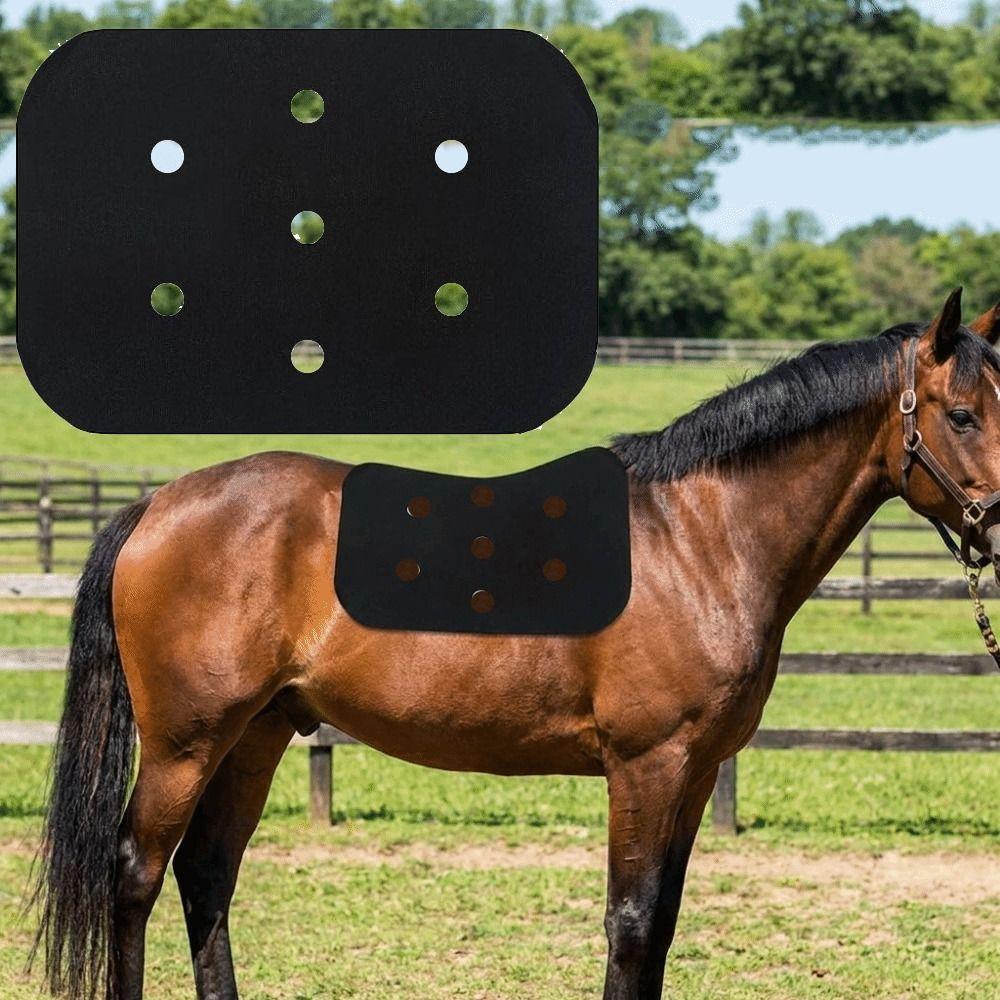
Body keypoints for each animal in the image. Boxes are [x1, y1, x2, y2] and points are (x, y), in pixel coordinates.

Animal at [29, 288, 1000, 1000]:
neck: (698, 537)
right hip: (186, 743)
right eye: (960, 414)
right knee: (136, 875)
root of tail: (156, 504)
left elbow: (663, 925)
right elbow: (632, 924)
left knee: (207, 876)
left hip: (259, 733)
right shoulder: (647, 765)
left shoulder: (693, 773)